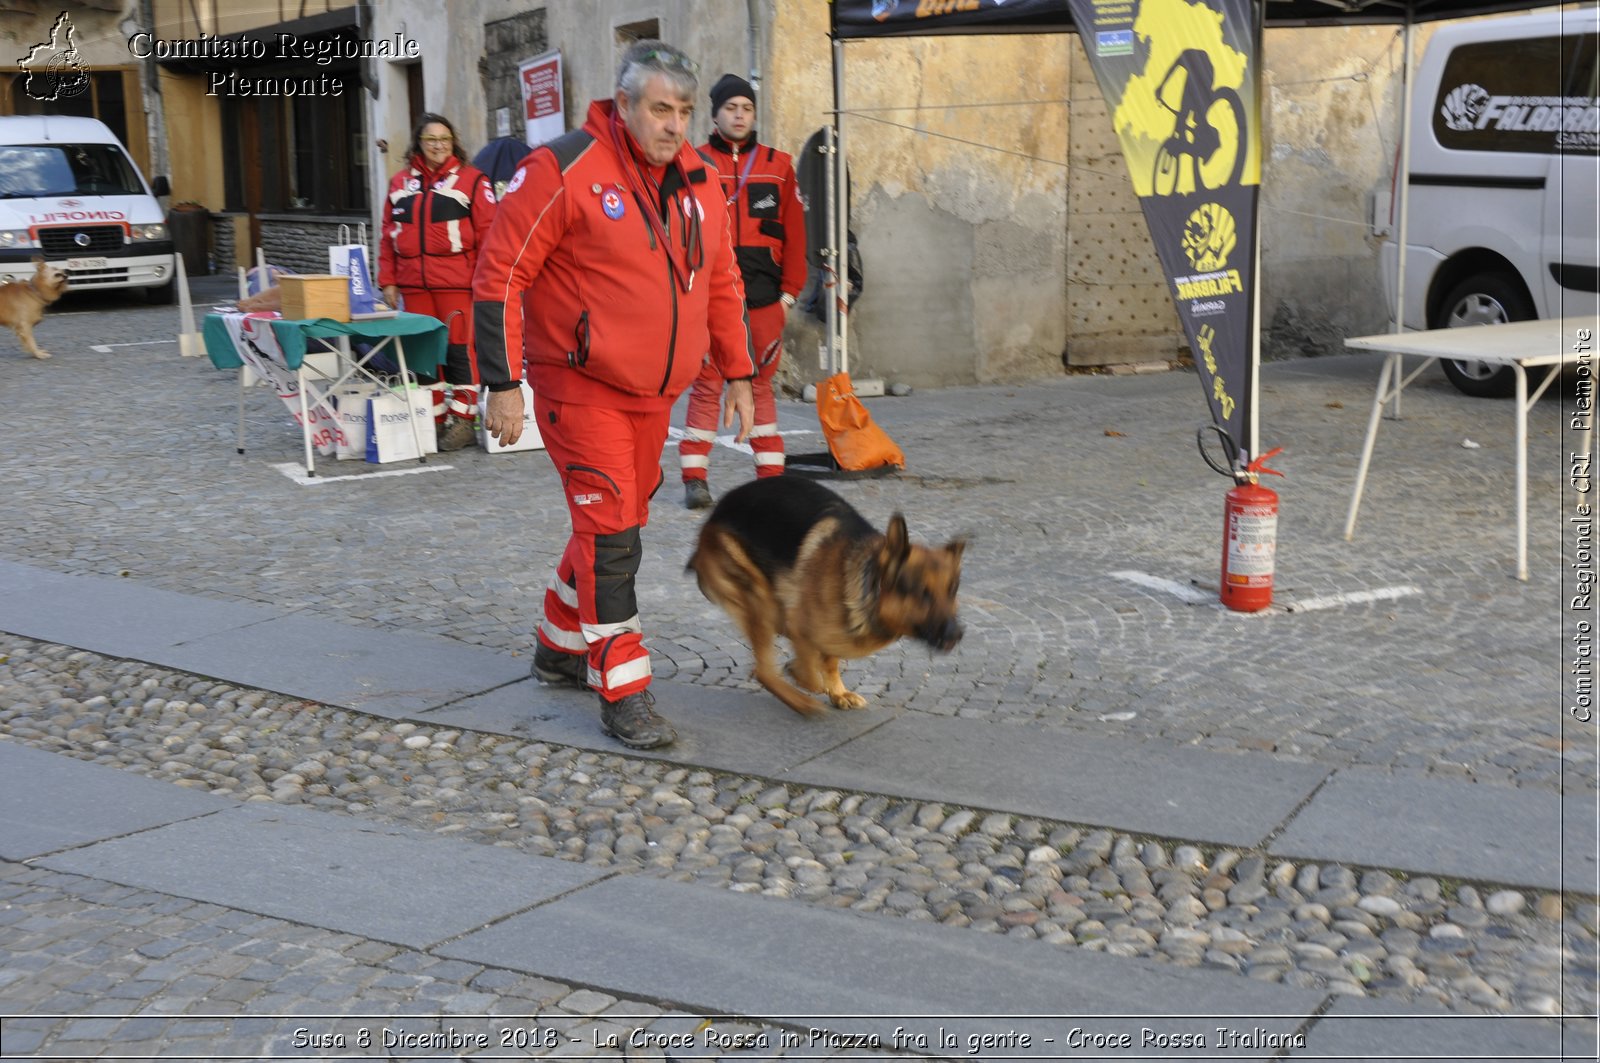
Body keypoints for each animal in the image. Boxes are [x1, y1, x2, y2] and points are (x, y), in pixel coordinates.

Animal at [684, 480, 960, 714]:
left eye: (952, 591)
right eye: (922, 593)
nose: (958, 634)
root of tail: (712, 518)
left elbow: (829, 660)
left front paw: (838, 693)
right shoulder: (799, 622)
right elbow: (809, 669)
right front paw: (803, 675)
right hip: (760, 598)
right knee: (763, 671)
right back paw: (800, 702)